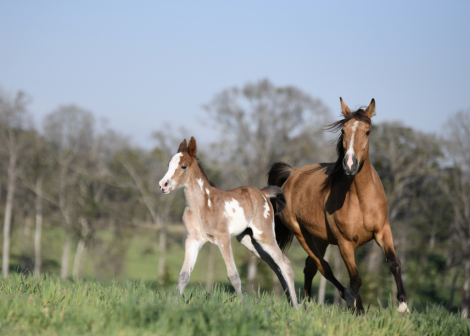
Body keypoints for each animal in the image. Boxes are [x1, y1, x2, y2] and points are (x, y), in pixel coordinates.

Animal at [160, 136, 300, 308]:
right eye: (169, 165)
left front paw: (243, 306)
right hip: (249, 240)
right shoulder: (192, 240)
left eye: (183, 166)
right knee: (275, 266)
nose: (163, 185)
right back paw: (292, 302)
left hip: (264, 236)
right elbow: (184, 276)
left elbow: (233, 275)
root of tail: (263, 193)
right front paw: (174, 306)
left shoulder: (224, 238)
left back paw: (297, 307)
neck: (202, 205)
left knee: (285, 265)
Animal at [268, 98, 408, 314]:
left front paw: (403, 305)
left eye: (368, 131)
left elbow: (394, 263)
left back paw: (308, 301)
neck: (361, 200)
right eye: (343, 130)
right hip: (302, 234)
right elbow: (355, 279)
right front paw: (360, 311)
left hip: (320, 238)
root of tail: (292, 173)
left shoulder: (383, 231)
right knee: (323, 267)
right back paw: (346, 300)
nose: (350, 165)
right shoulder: (345, 244)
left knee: (310, 267)